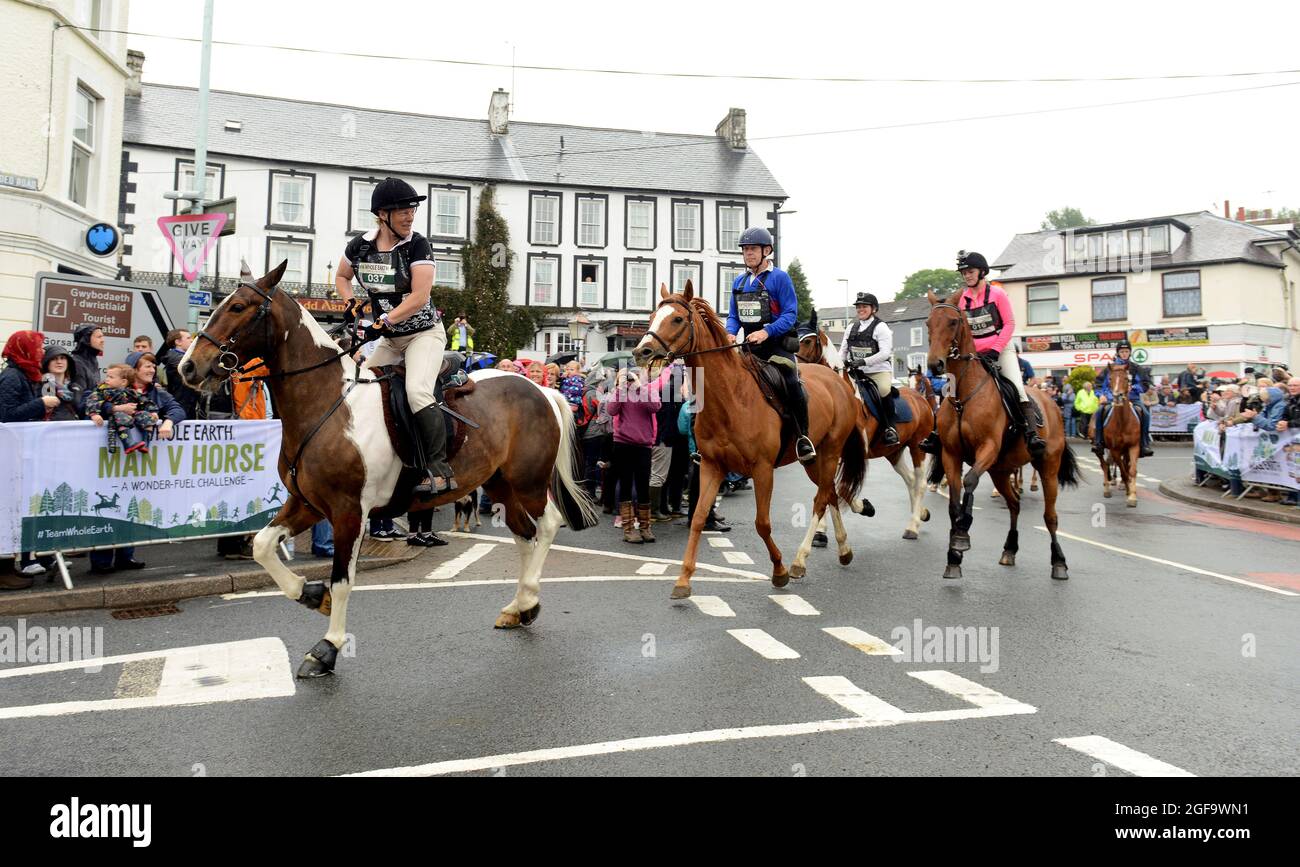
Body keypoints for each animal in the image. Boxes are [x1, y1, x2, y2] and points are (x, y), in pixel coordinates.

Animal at [182, 262, 598, 675]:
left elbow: (342, 579)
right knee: (524, 534)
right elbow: (263, 546)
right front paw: (311, 593)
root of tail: (541, 389)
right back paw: (520, 607)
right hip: (499, 485)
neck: (328, 403)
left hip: (528, 482)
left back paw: (527, 599)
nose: (189, 366)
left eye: (238, 307)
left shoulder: (348, 511)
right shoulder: (307, 503)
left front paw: (328, 647)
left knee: (546, 525)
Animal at [629, 283, 863, 597]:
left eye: (677, 319)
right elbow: (699, 518)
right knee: (830, 494)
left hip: (830, 452)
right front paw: (683, 580)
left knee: (821, 498)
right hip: (813, 461)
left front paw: (779, 571)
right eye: (653, 316)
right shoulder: (712, 466)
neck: (730, 398)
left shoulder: (762, 469)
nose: (642, 351)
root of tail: (838, 381)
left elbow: (762, 523)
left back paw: (800, 560)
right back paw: (844, 549)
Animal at [790, 330, 935, 538]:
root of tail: (921, 400)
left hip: (918, 447)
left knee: (920, 483)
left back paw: (913, 526)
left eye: (808, 341)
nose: (795, 369)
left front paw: (864, 507)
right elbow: (826, 487)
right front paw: (821, 531)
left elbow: (838, 488)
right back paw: (921, 513)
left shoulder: (850, 454)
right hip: (894, 452)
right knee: (911, 480)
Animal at [925, 293, 1086, 582]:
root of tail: (1051, 402)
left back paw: (1059, 562)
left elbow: (969, 481)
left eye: (953, 321)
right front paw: (953, 558)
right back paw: (1009, 549)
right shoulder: (951, 454)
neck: (963, 398)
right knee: (1014, 504)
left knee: (1050, 516)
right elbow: (953, 501)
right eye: (928, 323)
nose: (935, 364)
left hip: (1048, 467)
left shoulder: (987, 448)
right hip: (1000, 471)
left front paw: (962, 534)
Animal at [1097, 363, 1138, 504]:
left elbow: (1131, 470)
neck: (1122, 422)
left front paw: (1132, 496)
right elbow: (1123, 471)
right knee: (1104, 465)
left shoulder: (1133, 446)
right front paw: (1128, 491)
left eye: (1126, 378)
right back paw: (1107, 489)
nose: (1117, 396)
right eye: (1110, 379)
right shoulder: (1114, 450)